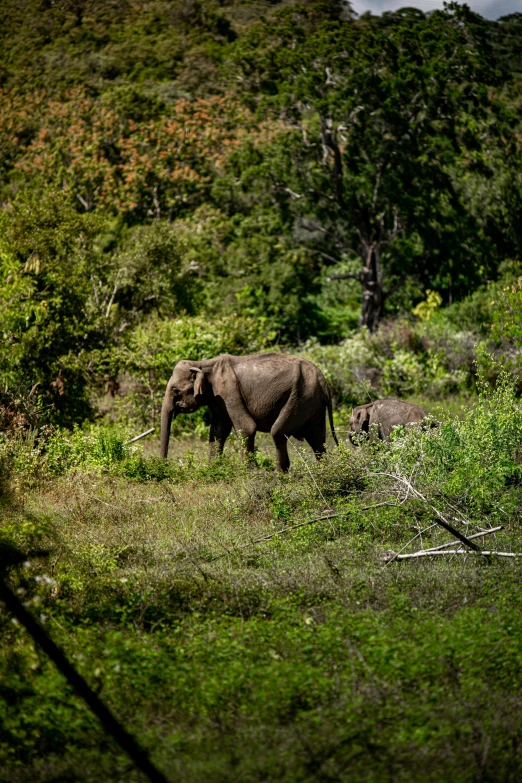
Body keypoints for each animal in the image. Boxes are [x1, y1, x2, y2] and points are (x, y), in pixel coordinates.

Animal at [158, 354, 338, 472]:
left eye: (175, 390)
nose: (164, 466)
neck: (204, 364)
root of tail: (323, 380)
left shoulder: (229, 392)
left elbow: (247, 427)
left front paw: (248, 472)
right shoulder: (219, 400)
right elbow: (217, 432)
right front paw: (213, 469)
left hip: (300, 398)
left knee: (278, 432)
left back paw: (278, 473)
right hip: (313, 403)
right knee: (317, 438)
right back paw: (325, 471)